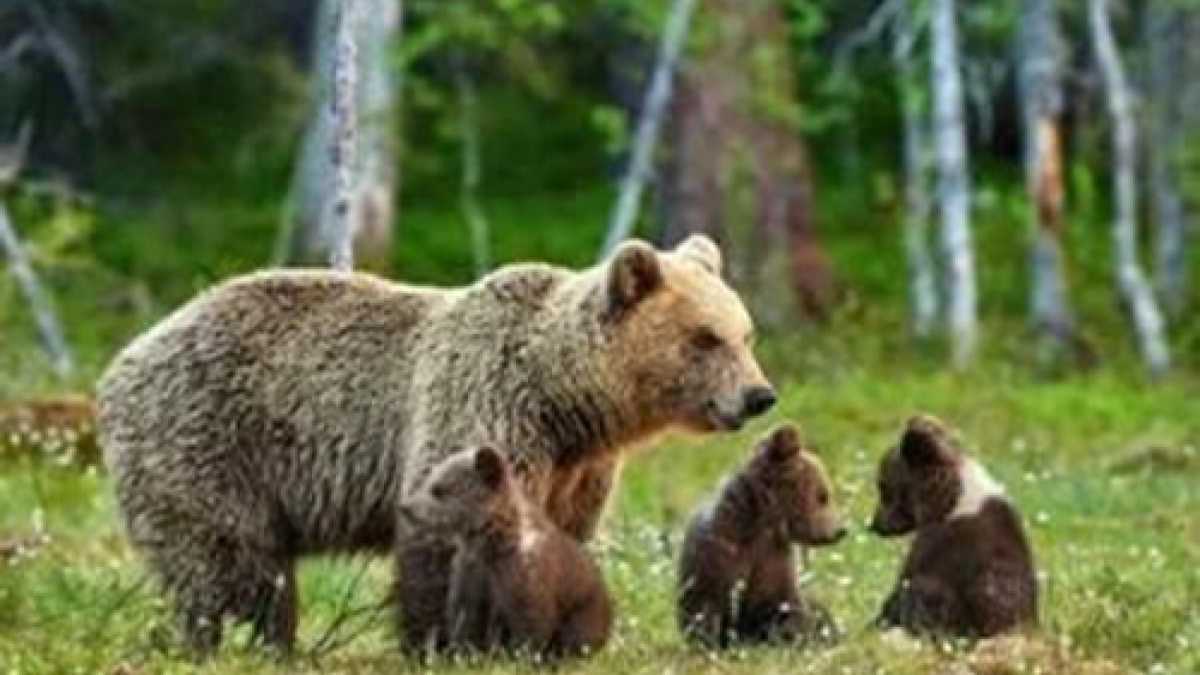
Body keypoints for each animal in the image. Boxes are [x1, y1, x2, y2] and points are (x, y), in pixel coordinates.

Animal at [397, 446, 611, 659]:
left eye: (440, 490)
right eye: (429, 479)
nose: (404, 507)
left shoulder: (525, 582)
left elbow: (531, 627)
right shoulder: (470, 578)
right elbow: (465, 624)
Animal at [677, 423, 846, 649]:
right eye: (823, 495)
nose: (840, 531)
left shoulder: (776, 565)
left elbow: (789, 609)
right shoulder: (718, 558)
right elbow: (705, 611)